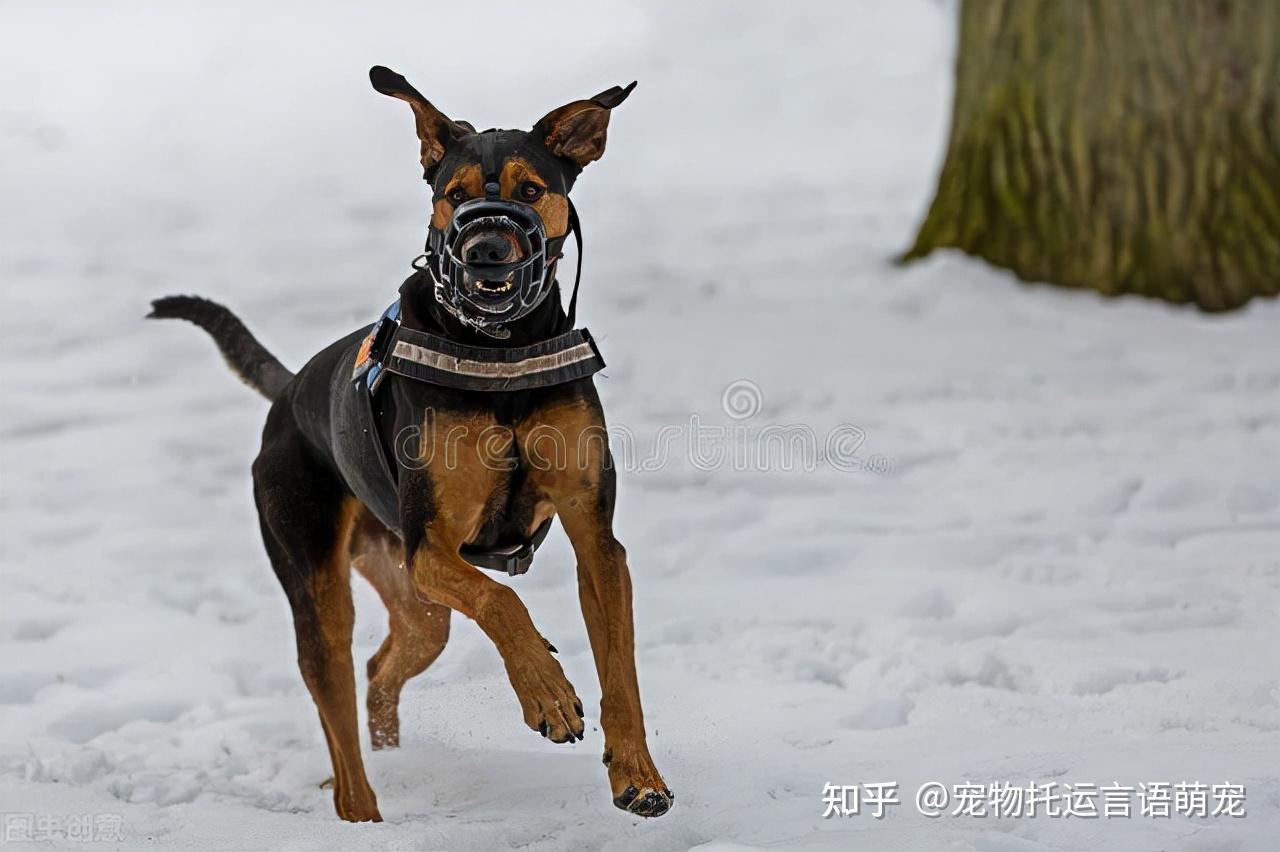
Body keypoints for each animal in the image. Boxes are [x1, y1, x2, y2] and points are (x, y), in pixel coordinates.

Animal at [148, 63, 670, 818]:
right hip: (319, 575)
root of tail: (288, 393)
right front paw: (547, 693)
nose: (485, 251)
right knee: (337, 696)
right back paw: (363, 811)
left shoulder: (593, 533)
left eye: (531, 190)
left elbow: (620, 669)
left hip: (413, 598)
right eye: (453, 195)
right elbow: (502, 601)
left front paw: (638, 776)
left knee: (384, 666)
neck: (500, 351)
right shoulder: (433, 545)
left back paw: (395, 755)